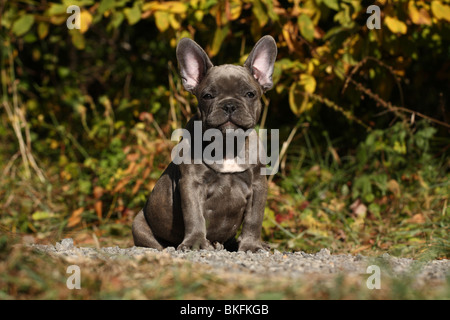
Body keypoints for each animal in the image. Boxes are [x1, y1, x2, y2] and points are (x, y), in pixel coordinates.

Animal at [132, 36, 276, 251]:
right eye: (207, 96)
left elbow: (254, 219)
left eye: (250, 94)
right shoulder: (192, 184)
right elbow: (195, 216)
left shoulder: (258, 184)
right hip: (139, 224)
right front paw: (195, 243)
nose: (229, 105)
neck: (227, 145)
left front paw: (251, 245)